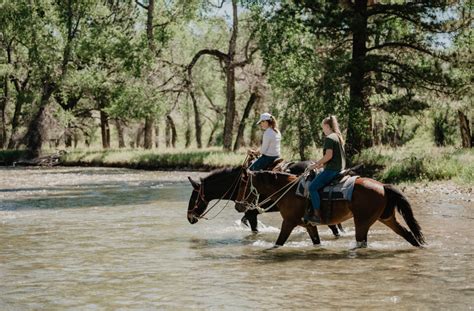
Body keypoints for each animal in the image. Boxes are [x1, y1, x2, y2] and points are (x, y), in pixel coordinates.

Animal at [187, 166, 342, 236]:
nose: (189, 217)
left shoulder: (251, 214)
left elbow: (254, 229)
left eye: (194, 197)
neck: (239, 186)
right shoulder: (250, 213)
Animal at [237, 169, 426, 250]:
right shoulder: (309, 225)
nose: (238, 206)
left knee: (362, 242)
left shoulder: (288, 222)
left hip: (363, 222)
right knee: (408, 235)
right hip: (386, 218)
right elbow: (316, 242)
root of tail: (383, 186)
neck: (289, 191)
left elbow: (279, 242)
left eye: (243, 185)